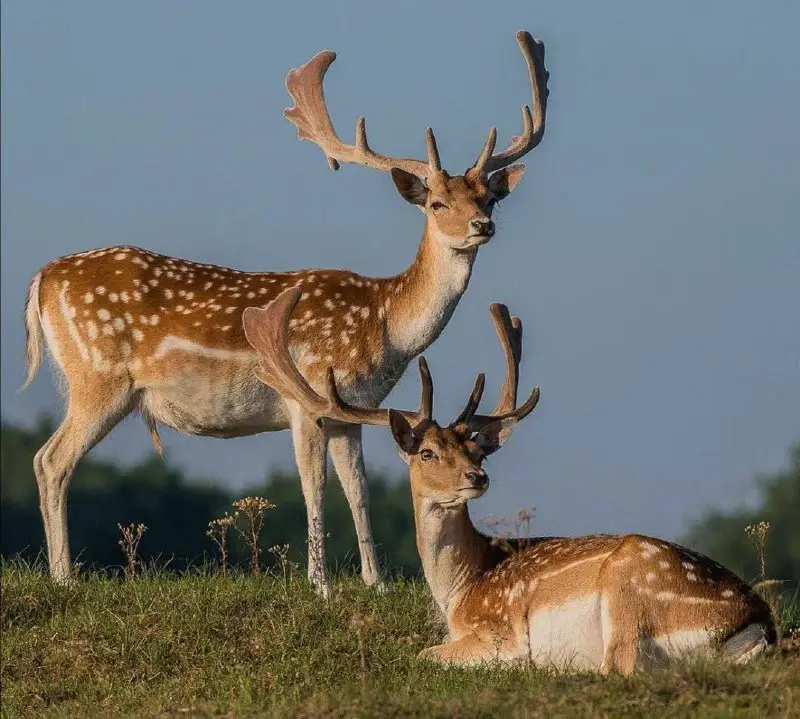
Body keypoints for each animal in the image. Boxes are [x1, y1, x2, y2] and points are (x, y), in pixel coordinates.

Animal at [23, 32, 552, 596]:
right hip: (98, 378)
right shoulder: (308, 396)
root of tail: (43, 279)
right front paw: (320, 586)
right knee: (51, 459)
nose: (481, 226)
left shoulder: (354, 410)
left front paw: (376, 583)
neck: (386, 325)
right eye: (435, 203)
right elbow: (313, 489)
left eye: (488, 198)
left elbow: (359, 491)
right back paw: (64, 578)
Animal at [247, 288, 780, 676]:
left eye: (476, 449)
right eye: (427, 452)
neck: (460, 591)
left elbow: (424, 654)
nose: (477, 475)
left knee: (619, 667)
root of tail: (759, 625)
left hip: (628, 593)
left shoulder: (494, 627)